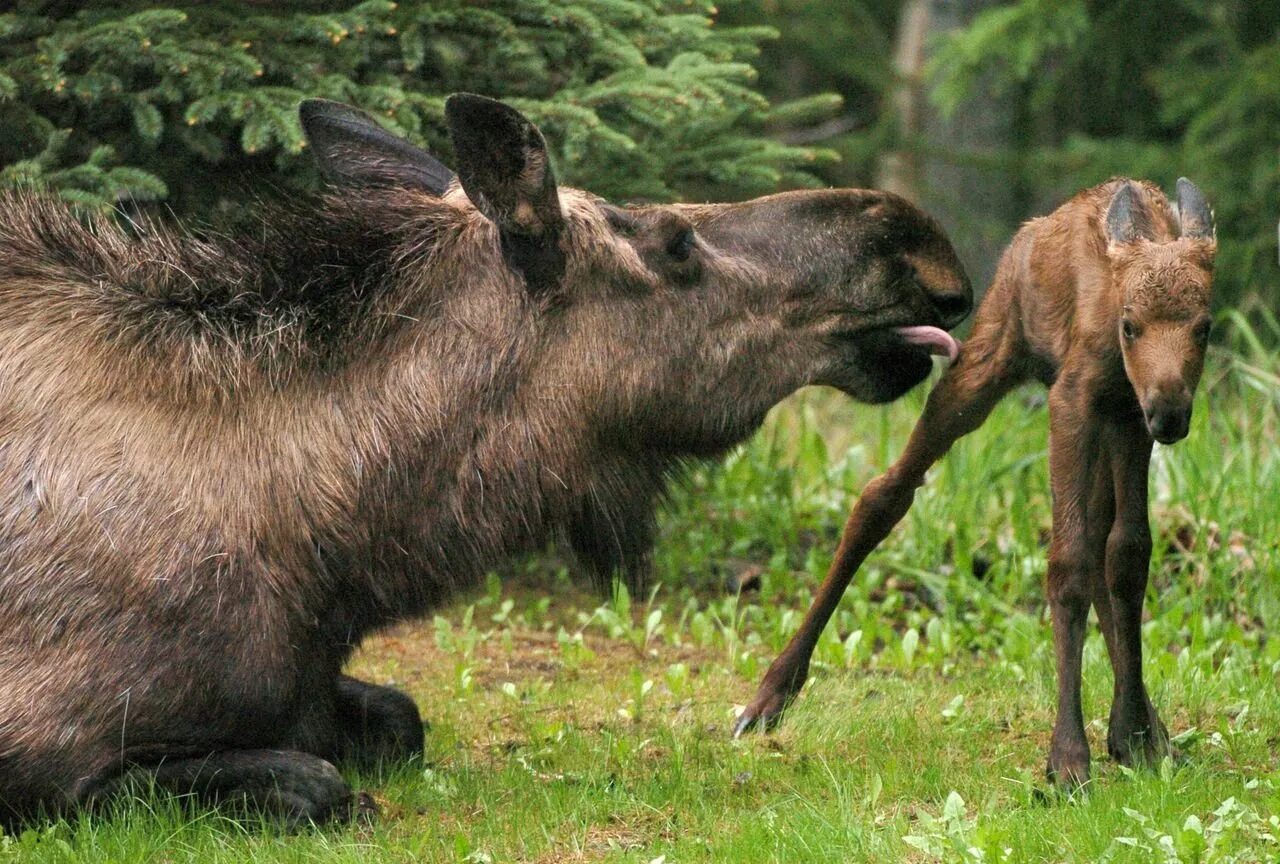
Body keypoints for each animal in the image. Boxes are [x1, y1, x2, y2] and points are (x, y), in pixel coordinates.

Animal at [0, 94, 967, 824]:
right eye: (674, 242)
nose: (915, 240)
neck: (334, 558)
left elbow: (401, 716)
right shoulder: (48, 749)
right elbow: (309, 781)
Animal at [737, 179, 1213, 788]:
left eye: (1204, 326)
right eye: (1130, 325)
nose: (1171, 412)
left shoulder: (1128, 418)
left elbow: (1127, 557)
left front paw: (1133, 733)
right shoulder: (1074, 399)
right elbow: (1067, 564)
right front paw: (1067, 758)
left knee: (1103, 544)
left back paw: (1149, 728)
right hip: (988, 355)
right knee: (882, 492)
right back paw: (768, 697)